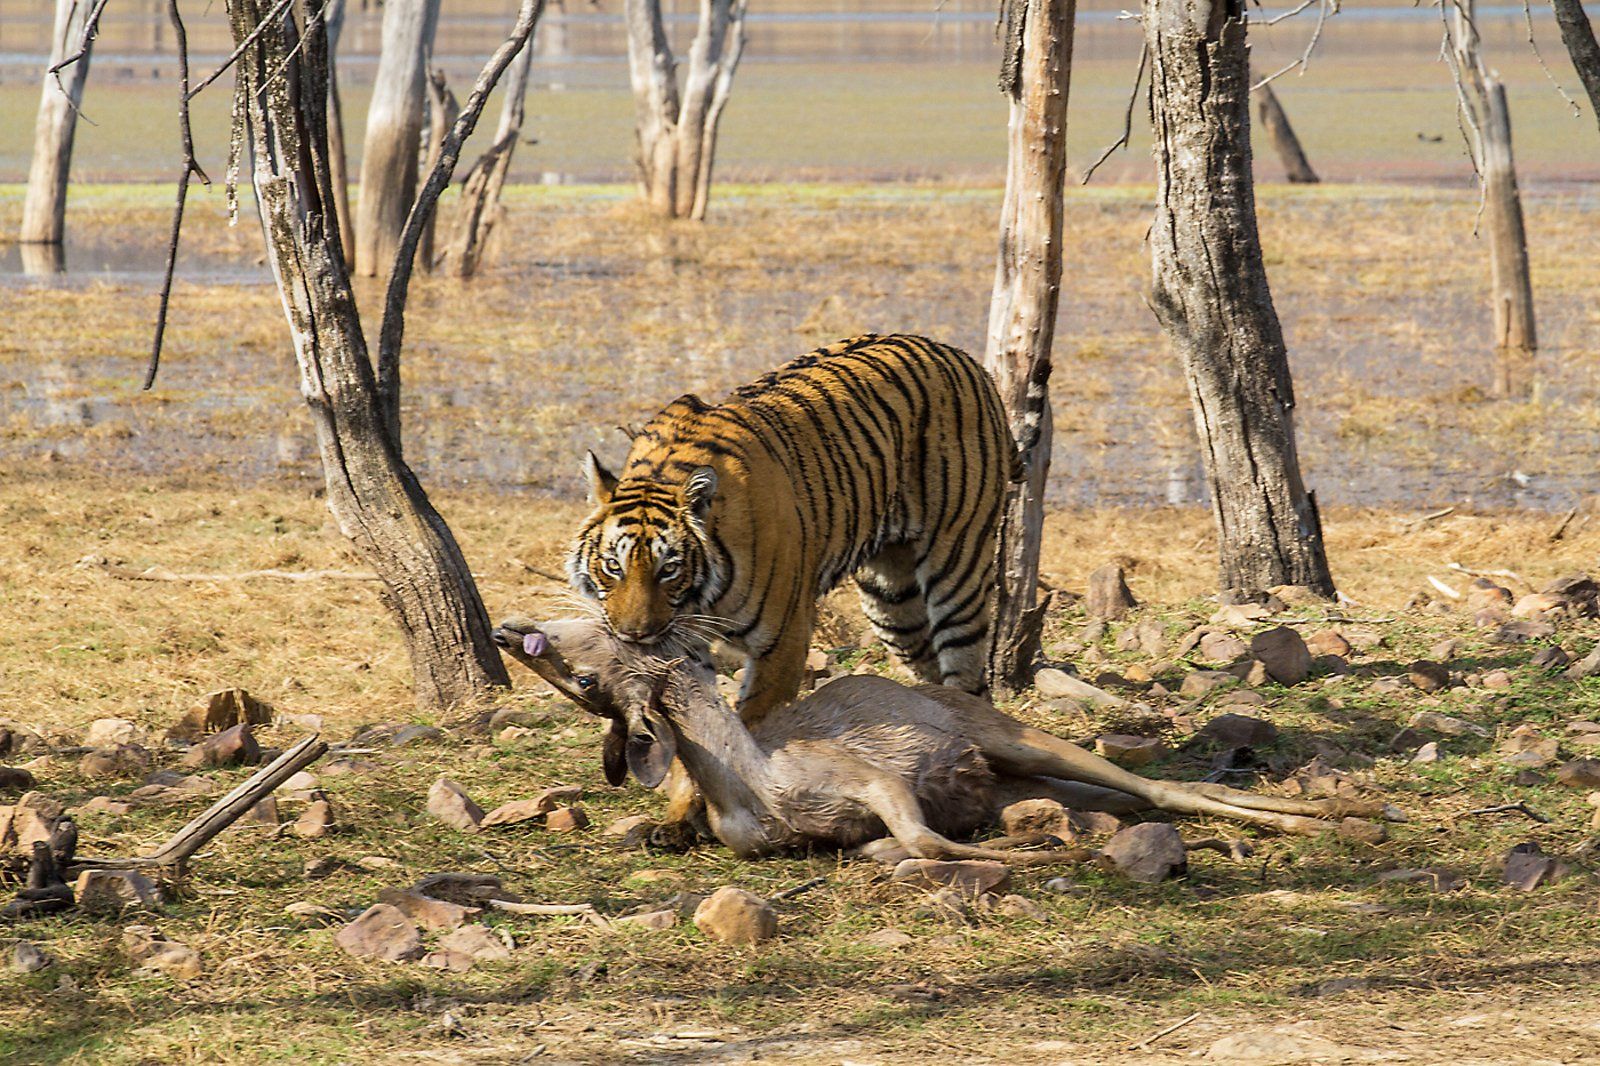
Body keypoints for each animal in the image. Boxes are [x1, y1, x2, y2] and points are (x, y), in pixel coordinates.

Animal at [568, 333, 1026, 725]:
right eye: (613, 566)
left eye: (669, 569)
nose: (634, 636)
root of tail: (963, 357)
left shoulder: (783, 642)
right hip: (894, 606)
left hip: (958, 568)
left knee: (969, 676)